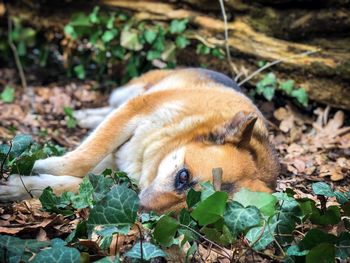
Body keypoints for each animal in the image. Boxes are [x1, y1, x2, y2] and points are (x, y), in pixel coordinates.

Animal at [0, 68, 278, 212]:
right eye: (183, 176)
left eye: (190, 209)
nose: (139, 210)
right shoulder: (135, 111)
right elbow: (84, 157)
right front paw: (36, 165)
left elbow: (70, 185)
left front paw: (20, 187)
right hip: (129, 93)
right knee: (111, 106)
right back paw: (83, 116)